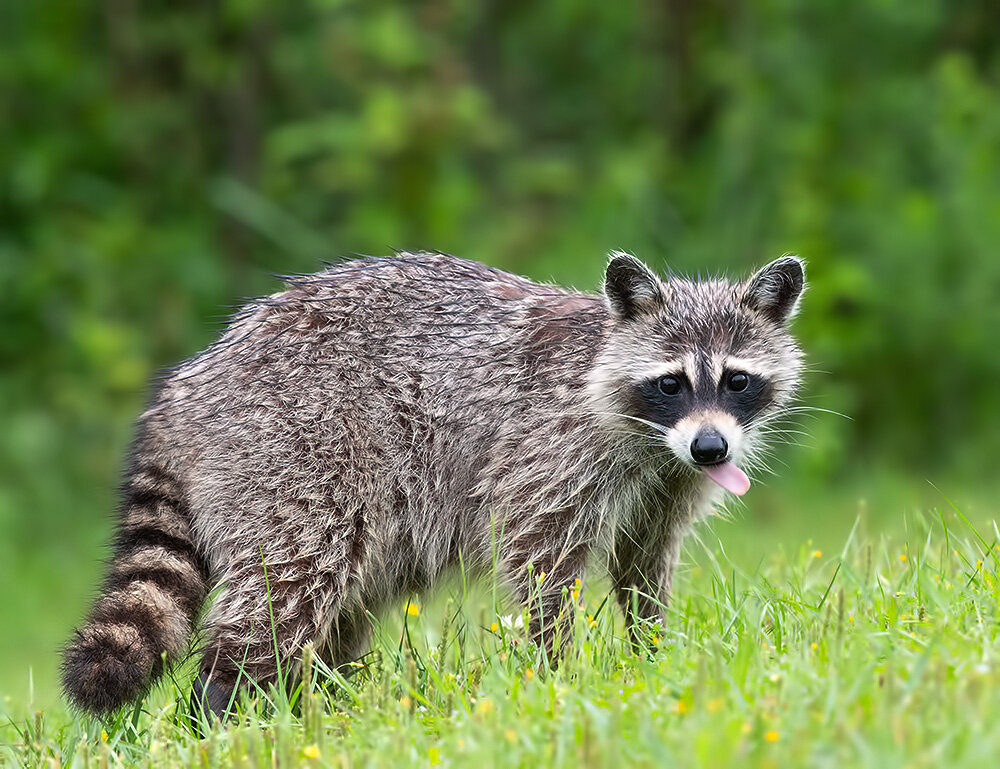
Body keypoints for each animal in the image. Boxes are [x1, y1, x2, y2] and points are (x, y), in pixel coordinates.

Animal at [62, 251, 805, 718]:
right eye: (672, 382)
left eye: (737, 380)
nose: (712, 448)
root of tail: (189, 383)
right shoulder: (551, 450)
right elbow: (538, 559)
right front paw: (559, 672)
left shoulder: (666, 482)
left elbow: (643, 561)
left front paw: (651, 652)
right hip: (293, 451)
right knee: (291, 584)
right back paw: (222, 706)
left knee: (341, 605)